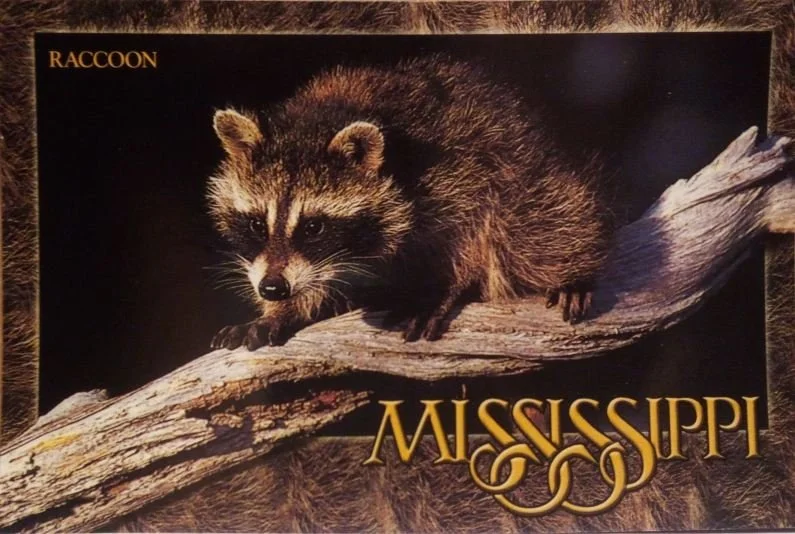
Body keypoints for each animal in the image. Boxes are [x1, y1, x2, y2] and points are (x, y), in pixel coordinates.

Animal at [207, 56, 611, 350]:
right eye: (256, 223)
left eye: (313, 226)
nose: (272, 289)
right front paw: (280, 311)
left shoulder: (463, 165)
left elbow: (478, 226)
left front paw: (444, 284)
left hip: (536, 174)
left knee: (542, 222)